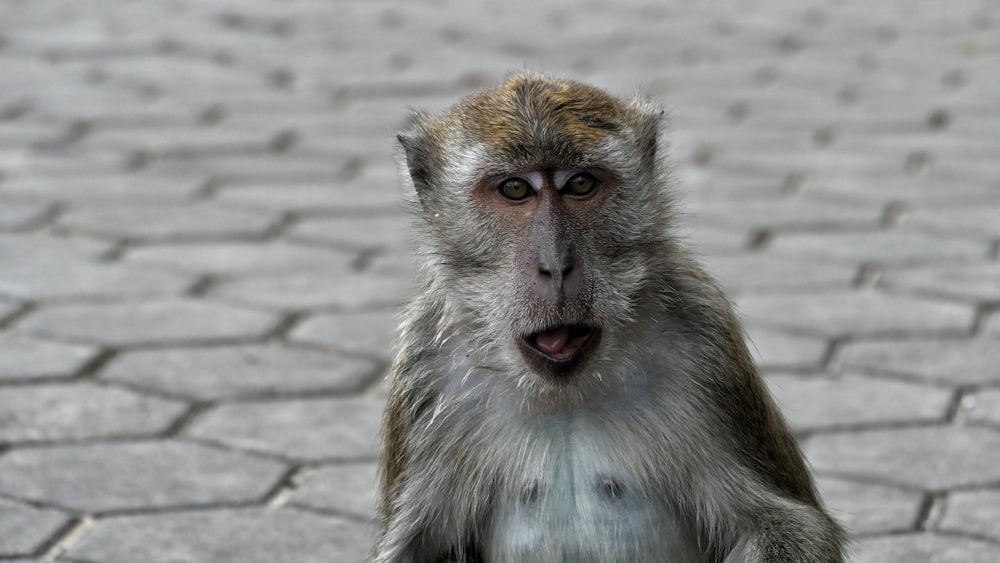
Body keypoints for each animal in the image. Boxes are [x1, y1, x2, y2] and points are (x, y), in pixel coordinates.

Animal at [376, 75, 844, 563]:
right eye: (516, 189)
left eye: (580, 183)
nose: (555, 265)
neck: (563, 392)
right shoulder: (427, 368)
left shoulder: (705, 339)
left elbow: (786, 526)